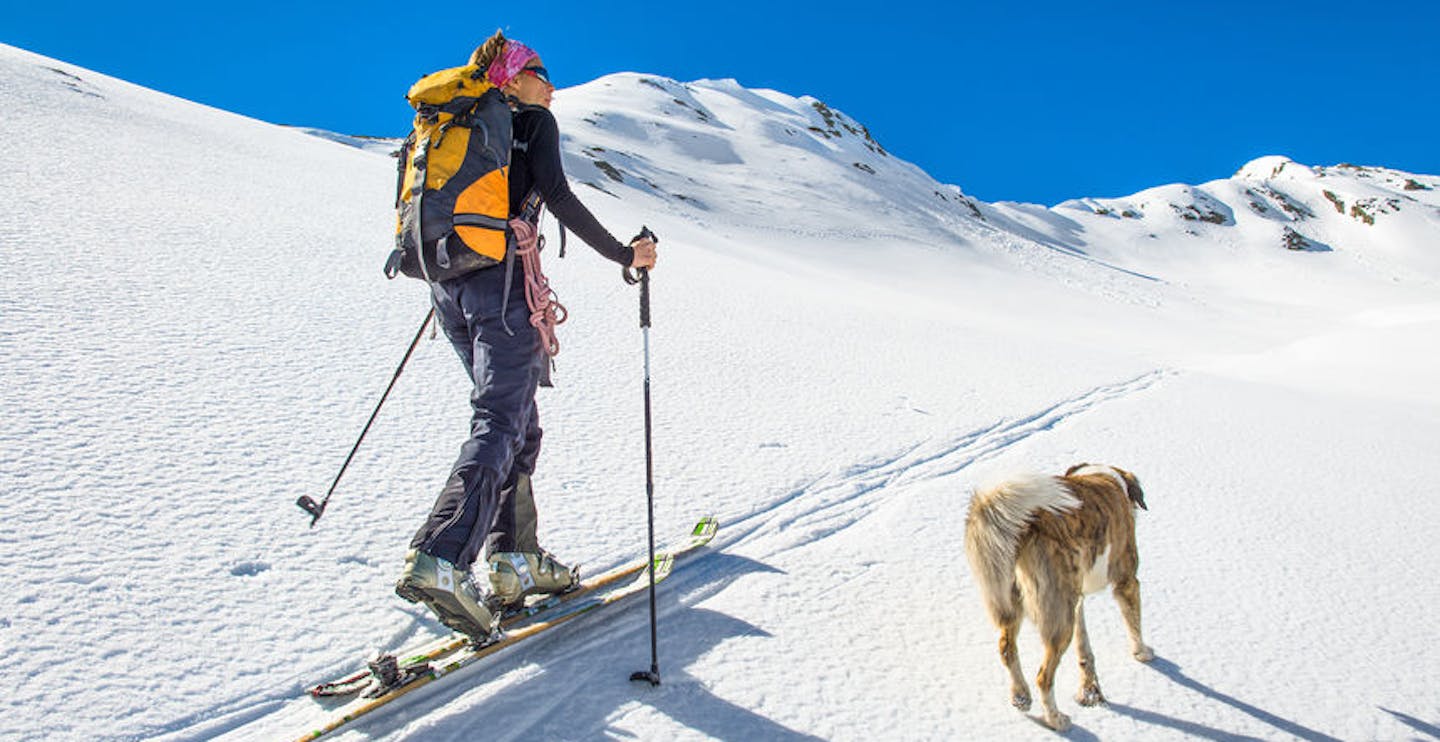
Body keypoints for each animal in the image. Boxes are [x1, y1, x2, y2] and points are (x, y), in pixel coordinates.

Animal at [961, 463, 1152, 731]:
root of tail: (1026, 528)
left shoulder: (1076, 601)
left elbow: (1084, 649)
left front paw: (1089, 689)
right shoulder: (1126, 581)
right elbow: (1134, 623)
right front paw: (1142, 653)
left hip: (1017, 599)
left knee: (1006, 648)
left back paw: (1020, 696)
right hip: (1059, 618)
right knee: (1044, 677)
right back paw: (1056, 720)